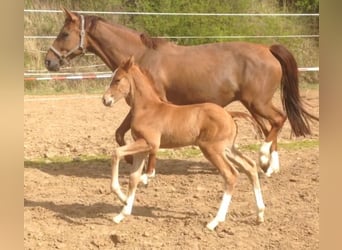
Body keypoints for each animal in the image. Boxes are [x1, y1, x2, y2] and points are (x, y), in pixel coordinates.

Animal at [101, 56, 264, 230]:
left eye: (117, 80)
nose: (105, 99)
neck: (147, 109)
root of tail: (229, 114)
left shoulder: (149, 143)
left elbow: (116, 153)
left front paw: (122, 197)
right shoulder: (142, 148)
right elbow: (133, 178)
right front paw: (122, 213)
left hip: (211, 149)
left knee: (231, 174)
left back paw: (215, 221)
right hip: (227, 149)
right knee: (250, 166)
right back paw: (260, 214)